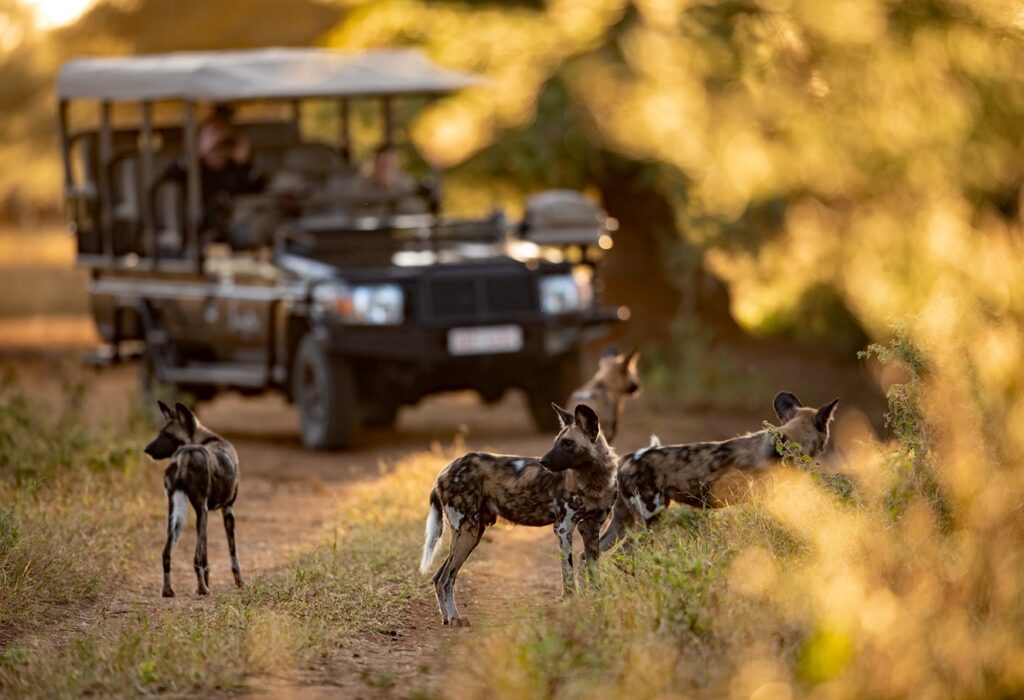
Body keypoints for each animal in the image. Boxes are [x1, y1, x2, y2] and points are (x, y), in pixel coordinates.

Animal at [143, 399, 242, 597]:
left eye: (167, 435)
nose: (146, 449)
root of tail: (183, 454)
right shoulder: (227, 510)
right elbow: (232, 555)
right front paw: (240, 583)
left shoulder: (206, 514)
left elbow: (206, 560)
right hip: (200, 511)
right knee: (195, 558)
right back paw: (203, 589)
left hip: (176, 514)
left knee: (166, 553)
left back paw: (168, 591)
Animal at [417, 401, 614, 626]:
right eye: (557, 442)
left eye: (568, 443)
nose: (543, 461)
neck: (594, 481)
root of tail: (443, 471)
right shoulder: (563, 528)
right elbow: (568, 576)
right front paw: (569, 605)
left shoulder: (592, 529)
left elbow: (594, 573)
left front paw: (599, 607)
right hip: (467, 532)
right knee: (445, 579)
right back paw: (454, 618)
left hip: (473, 533)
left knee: (438, 577)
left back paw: (447, 618)